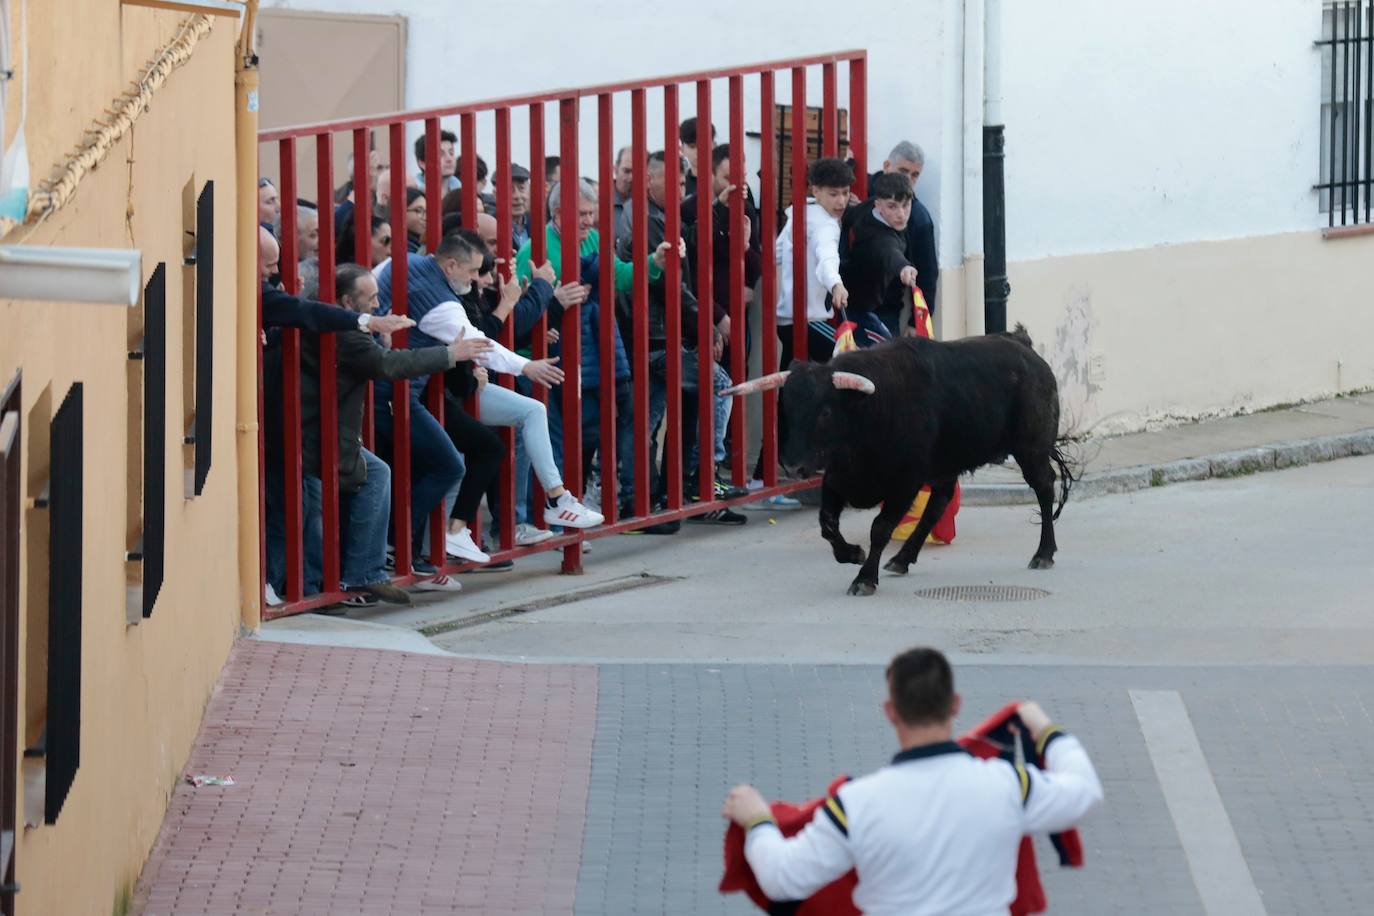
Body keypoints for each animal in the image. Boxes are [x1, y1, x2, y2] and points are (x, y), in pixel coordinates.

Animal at [725, 325, 1077, 598]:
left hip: (1030, 449)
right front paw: (852, 554)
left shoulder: (904, 482)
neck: (866, 413)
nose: (794, 467)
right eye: (787, 409)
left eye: (824, 412)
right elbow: (827, 523)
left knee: (1044, 488)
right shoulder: (837, 479)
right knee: (940, 501)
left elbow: (880, 528)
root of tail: (1022, 345)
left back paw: (1043, 554)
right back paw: (903, 558)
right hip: (947, 463)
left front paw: (864, 578)